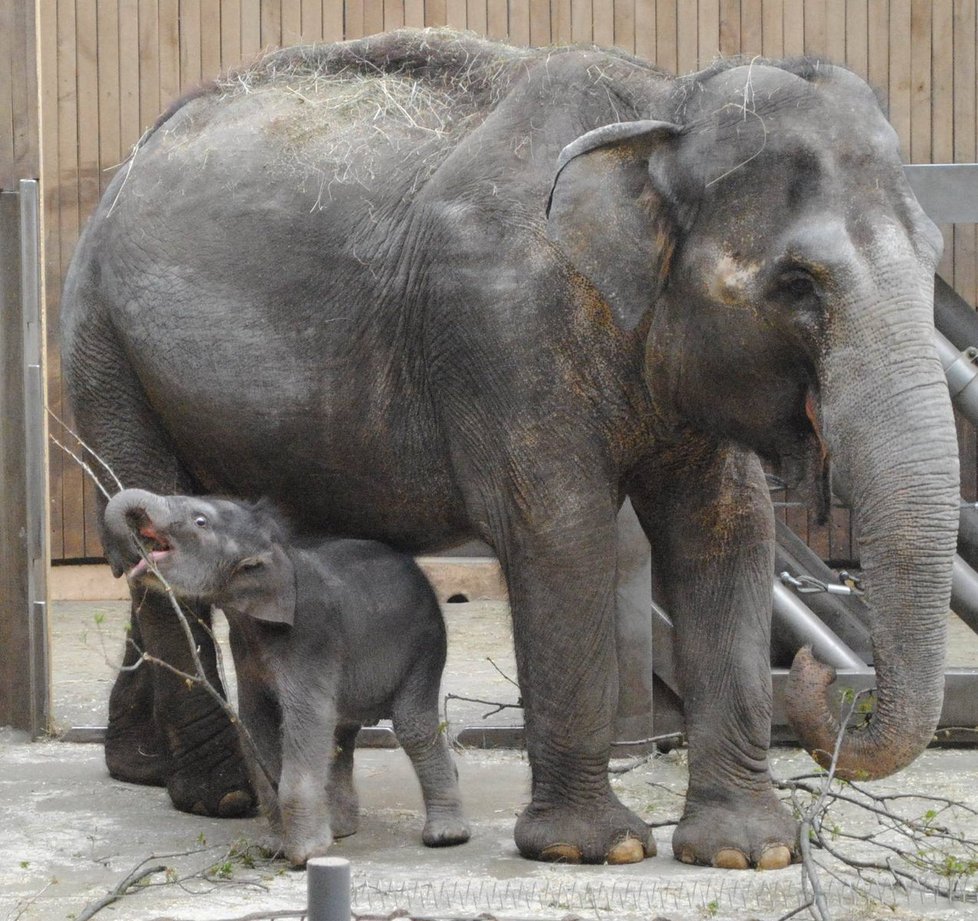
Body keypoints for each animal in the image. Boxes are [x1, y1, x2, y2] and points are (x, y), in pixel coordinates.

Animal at [105, 486, 470, 868]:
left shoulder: (310, 639)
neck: (277, 551)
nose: (121, 559)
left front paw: (303, 855)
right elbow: (256, 722)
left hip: (426, 646)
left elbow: (305, 720)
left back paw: (445, 836)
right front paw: (274, 847)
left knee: (412, 725)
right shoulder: (245, 651)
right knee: (340, 734)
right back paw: (341, 830)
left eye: (200, 521)